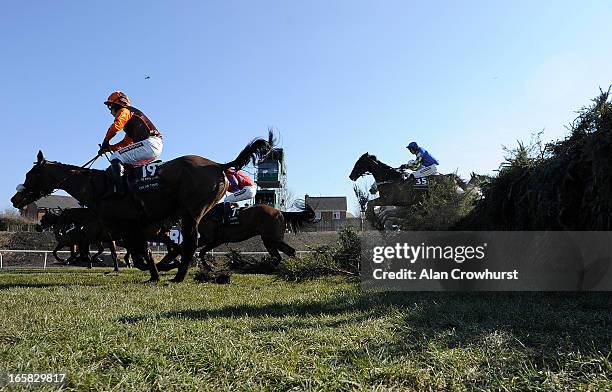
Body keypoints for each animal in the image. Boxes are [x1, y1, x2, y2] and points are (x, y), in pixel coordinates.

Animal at [9, 138, 272, 282]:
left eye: (31, 175)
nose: (14, 198)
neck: (98, 187)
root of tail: (219, 165)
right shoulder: (132, 229)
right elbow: (140, 254)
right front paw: (154, 272)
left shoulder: (128, 227)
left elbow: (138, 256)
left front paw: (156, 270)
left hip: (192, 211)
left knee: (190, 242)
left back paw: (179, 275)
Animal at [154, 202, 316, 270]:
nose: (163, 228)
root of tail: (281, 212)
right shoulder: (216, 240)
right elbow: (202, 252)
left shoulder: (209, 238)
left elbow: (191, 249)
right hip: (271, 240)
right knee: (286, 253)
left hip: (270, 239)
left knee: (282, 254)